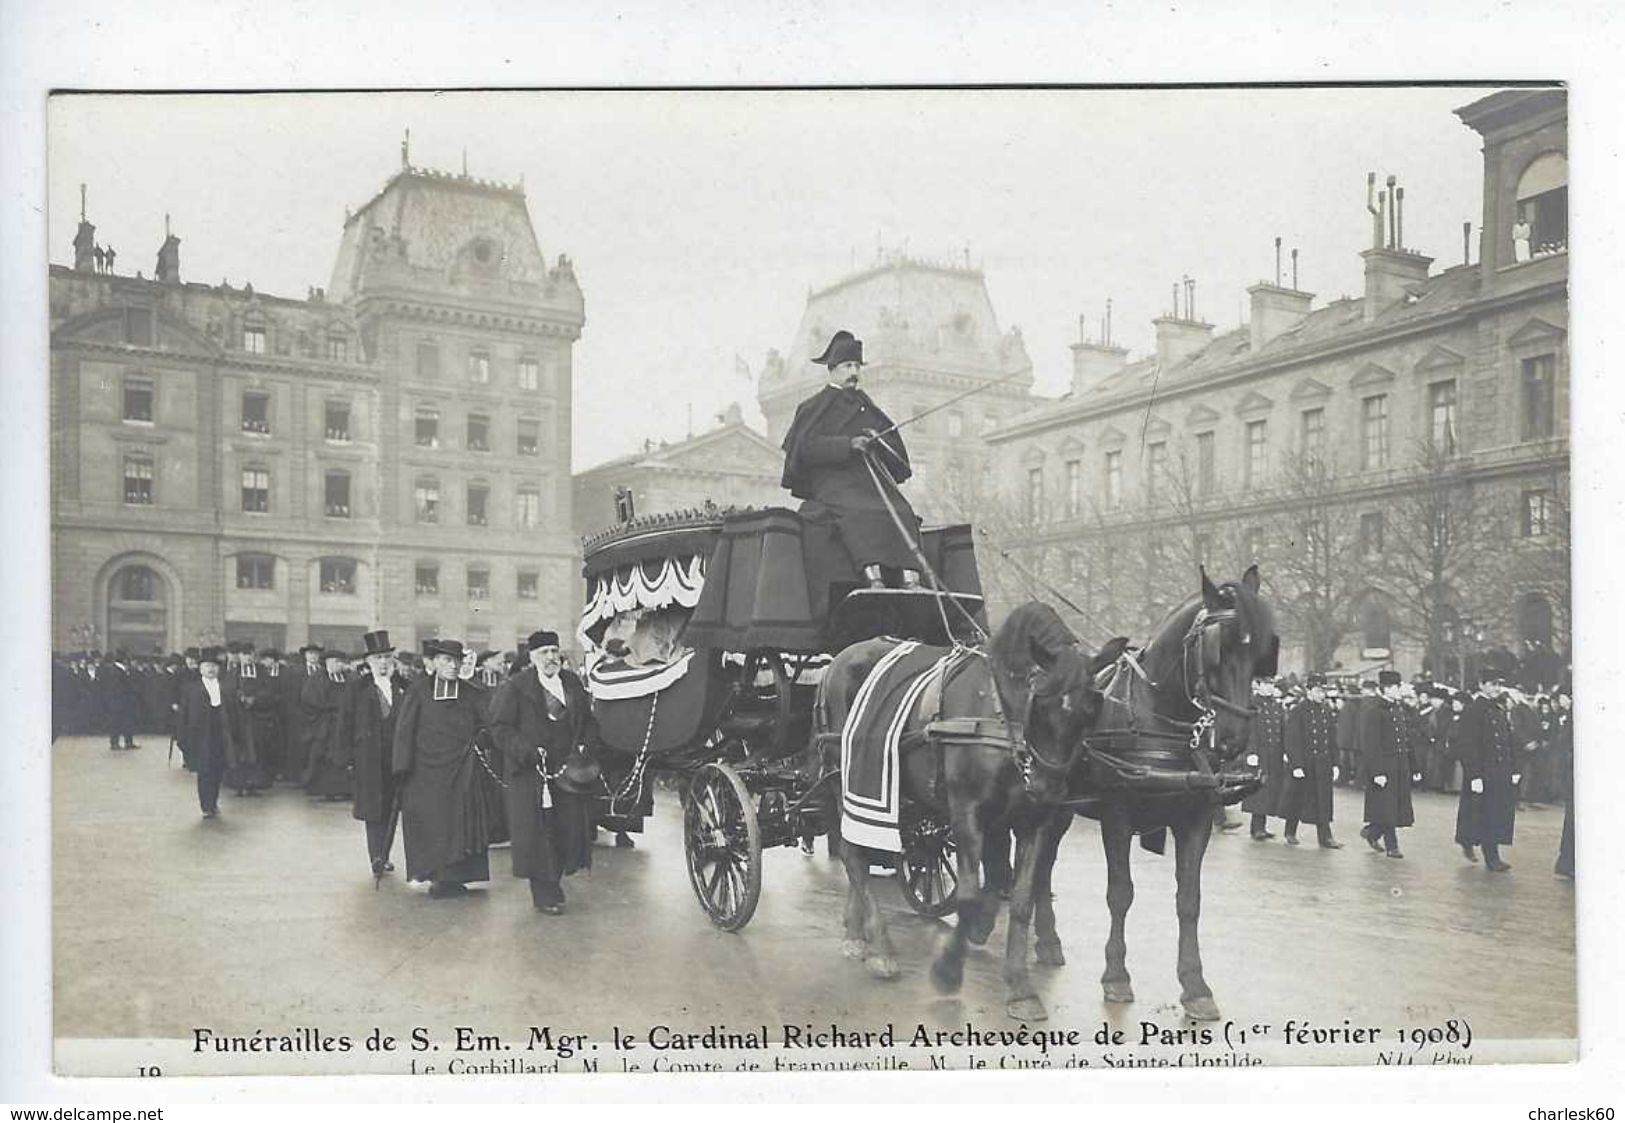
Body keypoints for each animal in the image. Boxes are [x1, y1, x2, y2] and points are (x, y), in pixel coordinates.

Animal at [809, 601, 1124, 1020]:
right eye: (1040, 703)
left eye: (1091, 711)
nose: (1047, 788)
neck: (999, 713)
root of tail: (838, 660)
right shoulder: (967, 814)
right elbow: (972, 895)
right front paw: (948, 970)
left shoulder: (1031, 821)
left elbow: (1020, 899)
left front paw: (1020, 987)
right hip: (844, 782)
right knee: (853, 855)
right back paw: (880, 947)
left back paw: (856, 930)